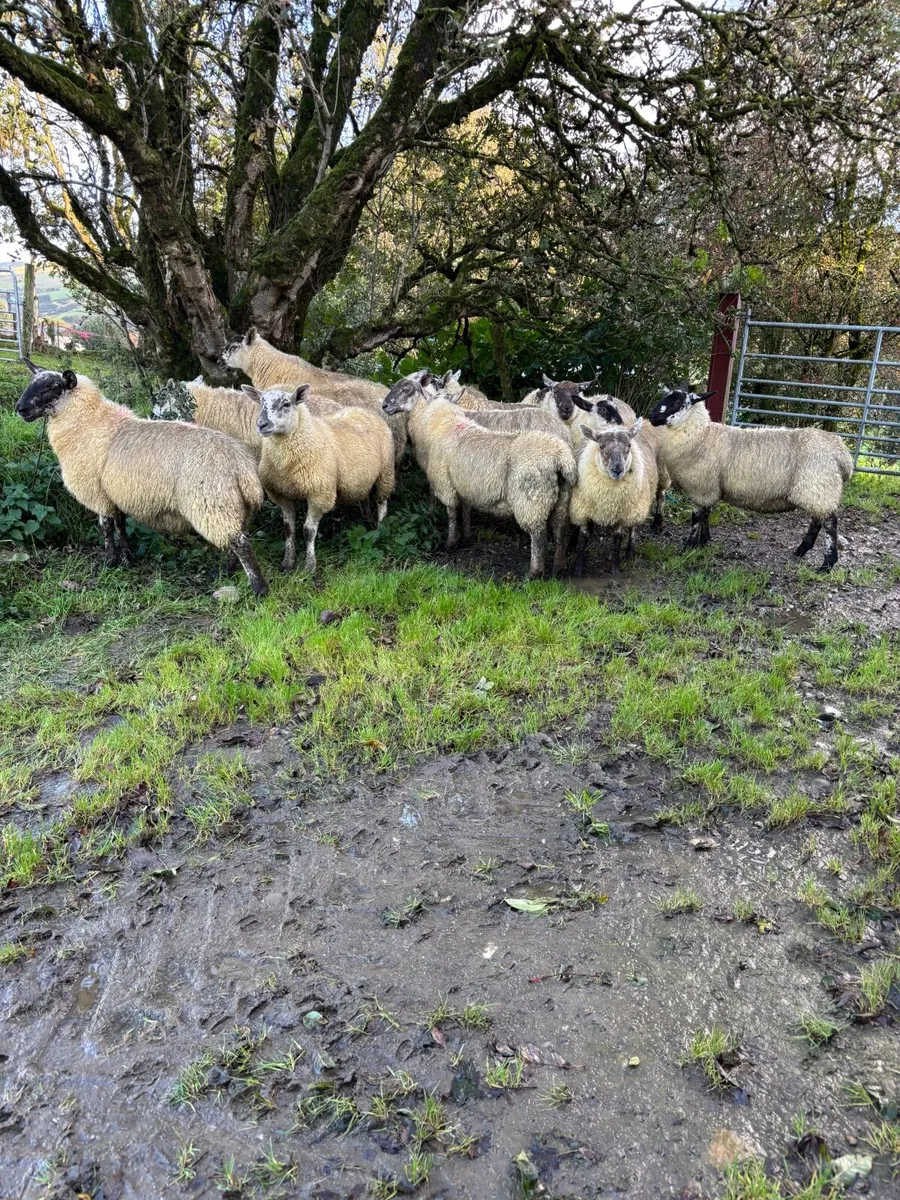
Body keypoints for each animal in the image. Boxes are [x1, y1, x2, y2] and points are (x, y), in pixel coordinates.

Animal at [16, 366, 267, 596]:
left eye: (53, 387)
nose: (20, 409)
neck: (88, 423)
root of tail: (242, 467)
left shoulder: (98, 494)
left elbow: (106, 529)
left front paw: (109, 562)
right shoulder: (115, 493)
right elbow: (120, 525)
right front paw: (127, 558)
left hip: (212, 503)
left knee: (240, 544)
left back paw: (259, 590)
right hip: (234, 506)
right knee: (238, 539)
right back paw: (225, 571)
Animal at [243, 382, 395, 575]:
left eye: (286, 404)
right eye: (261, 403)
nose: (262, 424)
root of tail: (364, 410)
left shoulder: (319, 495)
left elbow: (308, 531)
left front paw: (309, 566)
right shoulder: (282, 494)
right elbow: (289, 530)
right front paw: (288, 562)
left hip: (386, 473)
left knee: (382, 501)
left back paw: (380, 530)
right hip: (362, 479)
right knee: (365, 497)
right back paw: (367, 518)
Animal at [383, 376, 576, 578]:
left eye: (406, 389)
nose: (385, 406)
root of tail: (560, 455)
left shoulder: (445, 483)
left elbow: (452, 514)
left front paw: (450, 543)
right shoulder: (465, 483)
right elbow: (466, 509)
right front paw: (466, 537)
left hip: (531, 500)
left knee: (539, 536)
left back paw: (534, 573)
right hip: (561, 497)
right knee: (560, 529)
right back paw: (559, 567)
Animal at [569, 418, 658, 574]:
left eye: (629, 446)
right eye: (602, 446)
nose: (618, 470)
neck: (609, 500)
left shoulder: (622, 515)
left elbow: (617, 540)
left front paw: (615, 567)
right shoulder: (582, 511)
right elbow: (583, 539)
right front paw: (578, 568)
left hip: (636, 507)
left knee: (633, 529)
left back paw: (630, 553)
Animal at [647, 388, 854, 570]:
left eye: (676, 402)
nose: (651, 416)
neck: (702, 435)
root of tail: (842, 454)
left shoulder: (701, 486)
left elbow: (696, 518)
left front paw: (689, 546)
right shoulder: (709, 487)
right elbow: (706, 513)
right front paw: (704, 541)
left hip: (818, 487)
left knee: (830, 523)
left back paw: (827, 564)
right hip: (817, 490)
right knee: (818, 520)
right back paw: (801, 551)